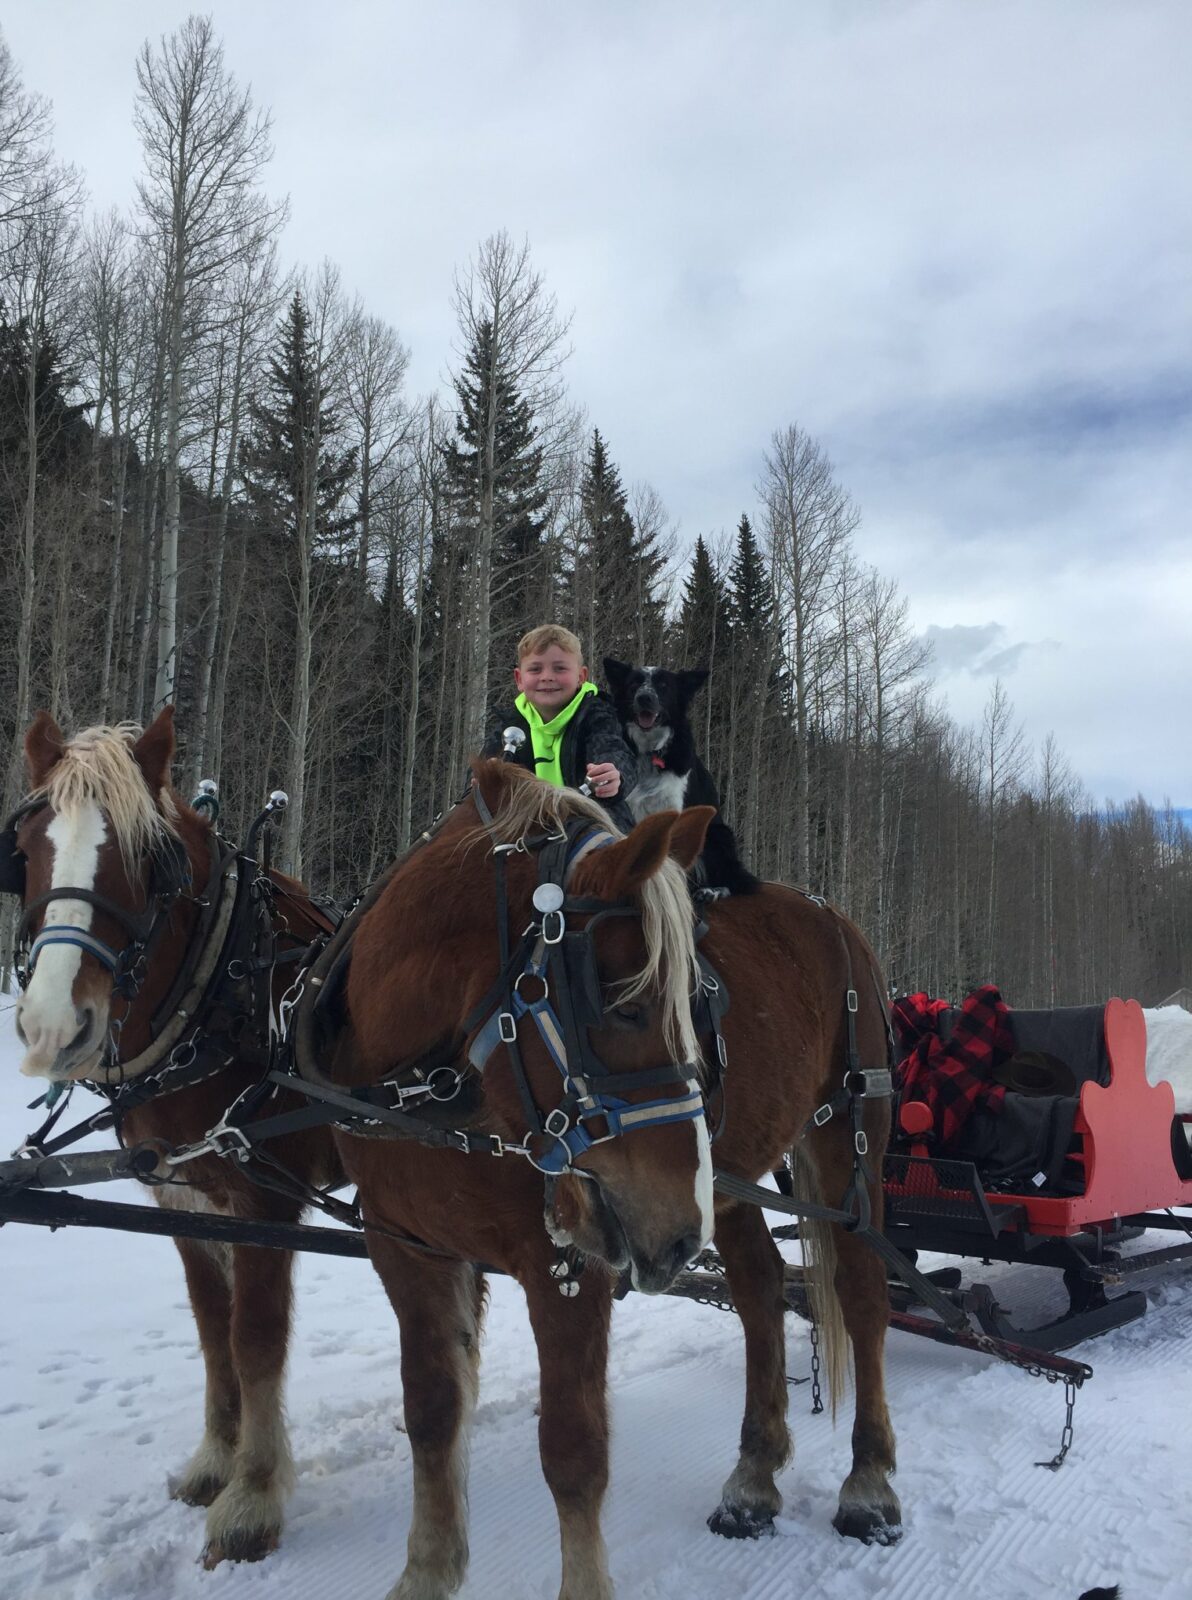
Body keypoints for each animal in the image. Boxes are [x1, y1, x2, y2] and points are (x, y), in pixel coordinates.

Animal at [598, 656, 758, 896]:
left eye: (664, 686)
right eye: (634, 684)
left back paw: (712, 891)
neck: (649, 752)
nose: (645, 698)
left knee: (734, 880)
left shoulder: (676, 811)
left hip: (719, 835)